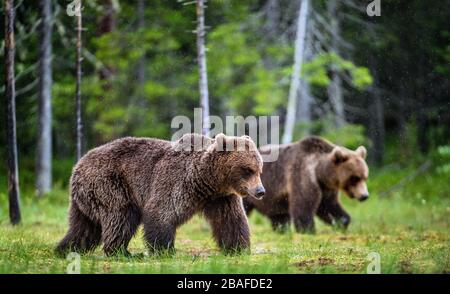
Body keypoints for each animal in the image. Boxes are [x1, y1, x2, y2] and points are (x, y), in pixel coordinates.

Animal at [55, 133, 264, 255]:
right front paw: (165, 249)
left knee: (84, 227)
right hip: (110, 183)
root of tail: (78, 166)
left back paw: (66, 248)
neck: (207, 179)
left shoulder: (221, 197)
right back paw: (122, 252)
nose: (260, 191)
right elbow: (162, 212)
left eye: (259, 169)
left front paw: (239, 248)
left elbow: (231, 220)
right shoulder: (177, 182)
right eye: (248, 170)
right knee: (122, 216)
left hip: (86, 198)